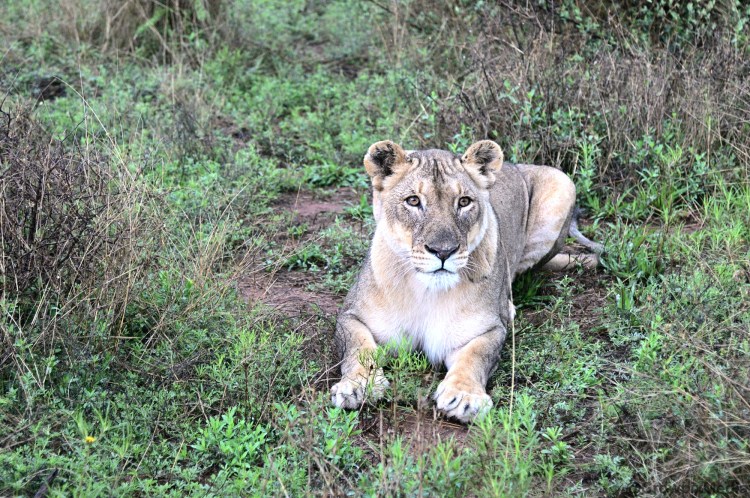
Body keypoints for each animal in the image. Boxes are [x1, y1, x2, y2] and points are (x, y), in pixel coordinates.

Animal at [330, 140, 602, 423]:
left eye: (464, 202)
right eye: (413, 201)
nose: (443, 251)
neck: (425, 291)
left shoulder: (486, 330)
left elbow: (475, 356)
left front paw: (463, 396)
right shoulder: (352, 316)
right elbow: (359, 349)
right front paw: (358, 386)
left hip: (563, 183)